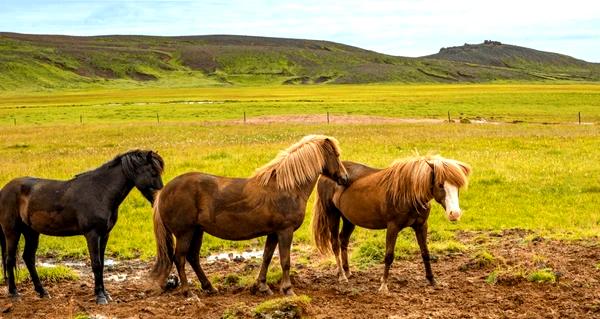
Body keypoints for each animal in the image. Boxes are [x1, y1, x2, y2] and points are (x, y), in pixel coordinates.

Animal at [0, 150, 164, 304]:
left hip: (31, 232)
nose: (159, 199)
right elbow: (96, 264)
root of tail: (4, 190)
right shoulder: (92, 234)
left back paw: (42, 292)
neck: (100, 191)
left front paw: (105, 294)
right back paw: (14, 293)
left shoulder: (104, 235)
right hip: (12, 232)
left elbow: (102, 264)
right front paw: (100, 297)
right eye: (153, 172)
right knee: (10, 260)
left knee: (28, 258)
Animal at [150, 135, 350, 298]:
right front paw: (287, 289)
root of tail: (164, 192)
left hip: (197, 232)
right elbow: (285, 261)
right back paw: (188, 293)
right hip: (185, 233)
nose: (345, 178)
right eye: (337, 155)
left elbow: (267, 257)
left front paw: (262, 286)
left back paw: (209, 287)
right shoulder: (285, 231)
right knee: (180, 259)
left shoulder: (273, 233)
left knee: (192, 257)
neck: (287, 187)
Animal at [312, 154, 472, 292]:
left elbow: (425, 253)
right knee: (335, 243)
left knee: (343, 240)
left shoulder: (421, 226)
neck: (409, 193)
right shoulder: (393, 227)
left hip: (349, 219)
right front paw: (383, 285)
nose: (455, 214)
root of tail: (325, 176)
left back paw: (348, 271)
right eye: (440, 185)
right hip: (332, 215)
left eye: (457, 186)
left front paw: (432, 280)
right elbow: (389, 256)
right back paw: (342, 276)